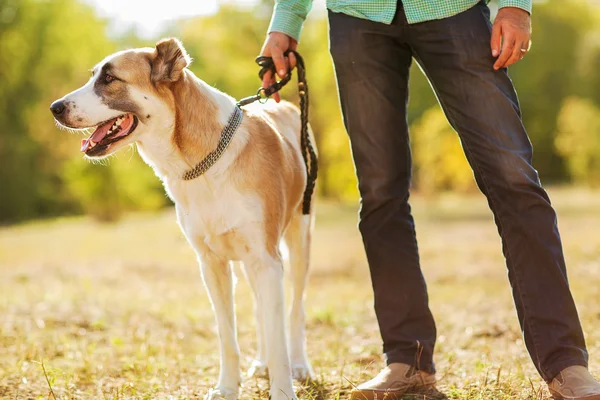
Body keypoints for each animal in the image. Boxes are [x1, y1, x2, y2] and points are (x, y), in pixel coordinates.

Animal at [50, 37, 318, 400]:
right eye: (93, 76)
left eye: (109, 79)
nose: (55, 108)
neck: (204, 162)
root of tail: (287, 106)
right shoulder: (212, 266)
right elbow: (228, 335)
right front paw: (226, 387)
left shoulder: (266, 259)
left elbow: (279, 336)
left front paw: (282, 390)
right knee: (262, 312)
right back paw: (261, 363)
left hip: (297, 241)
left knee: (294, 310)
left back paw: (300, 365)